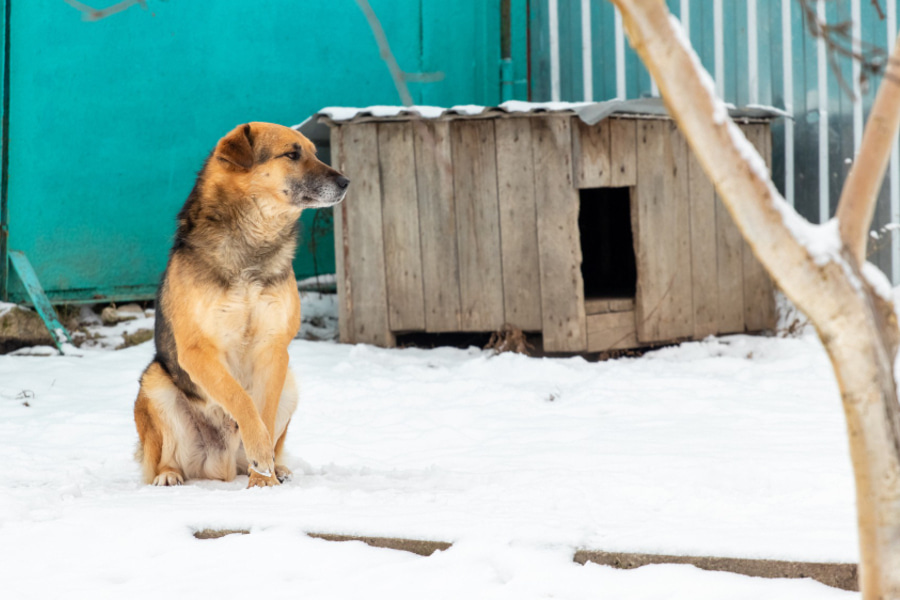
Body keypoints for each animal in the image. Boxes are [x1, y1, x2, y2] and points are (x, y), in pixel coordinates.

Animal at [134, 120, 348, 488]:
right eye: (292, 154)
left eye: (314, 152)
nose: (346, 182)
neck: (252, 244)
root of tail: (220, 468)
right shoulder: (198, 351)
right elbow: (240, 399)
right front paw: (260, 460)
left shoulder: (274, 349)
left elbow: (262, 412)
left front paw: (264, 480)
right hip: (155, 383)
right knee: (162, 457)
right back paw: (169, 474)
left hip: (290, 382)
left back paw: (278, 469)